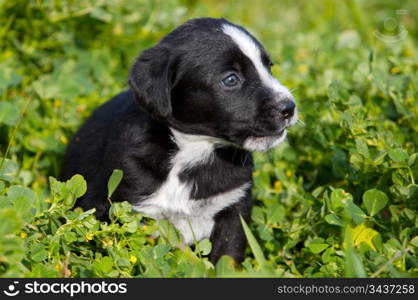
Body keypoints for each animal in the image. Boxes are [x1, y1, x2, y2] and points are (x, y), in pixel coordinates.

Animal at [61, 17, 298, 264]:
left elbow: (227, 257)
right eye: (231, 79)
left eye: (269, 67)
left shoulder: (234, 208)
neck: (194, 151)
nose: (289, 107)